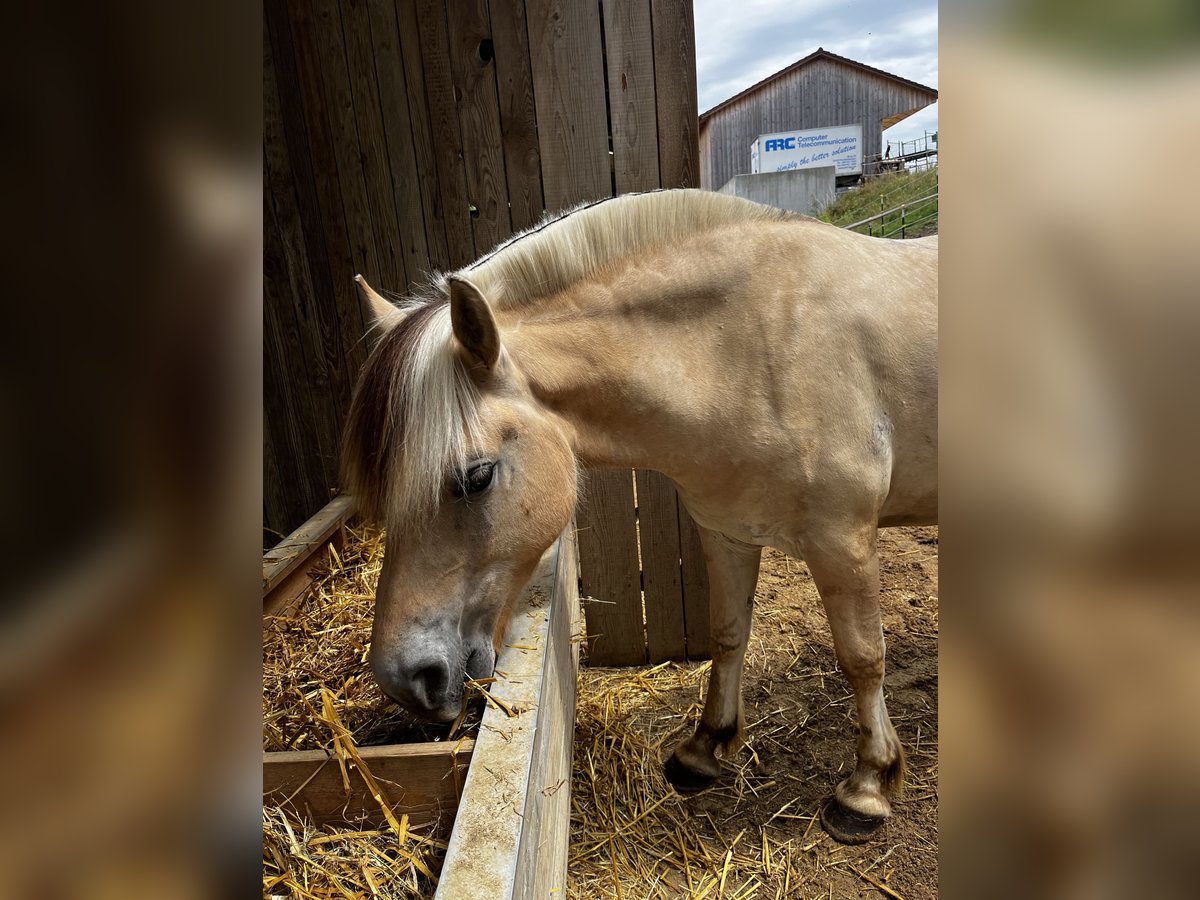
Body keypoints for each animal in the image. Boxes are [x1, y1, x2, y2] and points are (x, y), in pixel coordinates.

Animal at [338, 190, 936, 844]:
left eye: (476, 477)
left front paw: (867, 787)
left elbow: (863, 657)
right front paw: (704, 749)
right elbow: (729, 635)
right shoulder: (727, 533)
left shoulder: (842, 540)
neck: (751, 349)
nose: (405, 678)